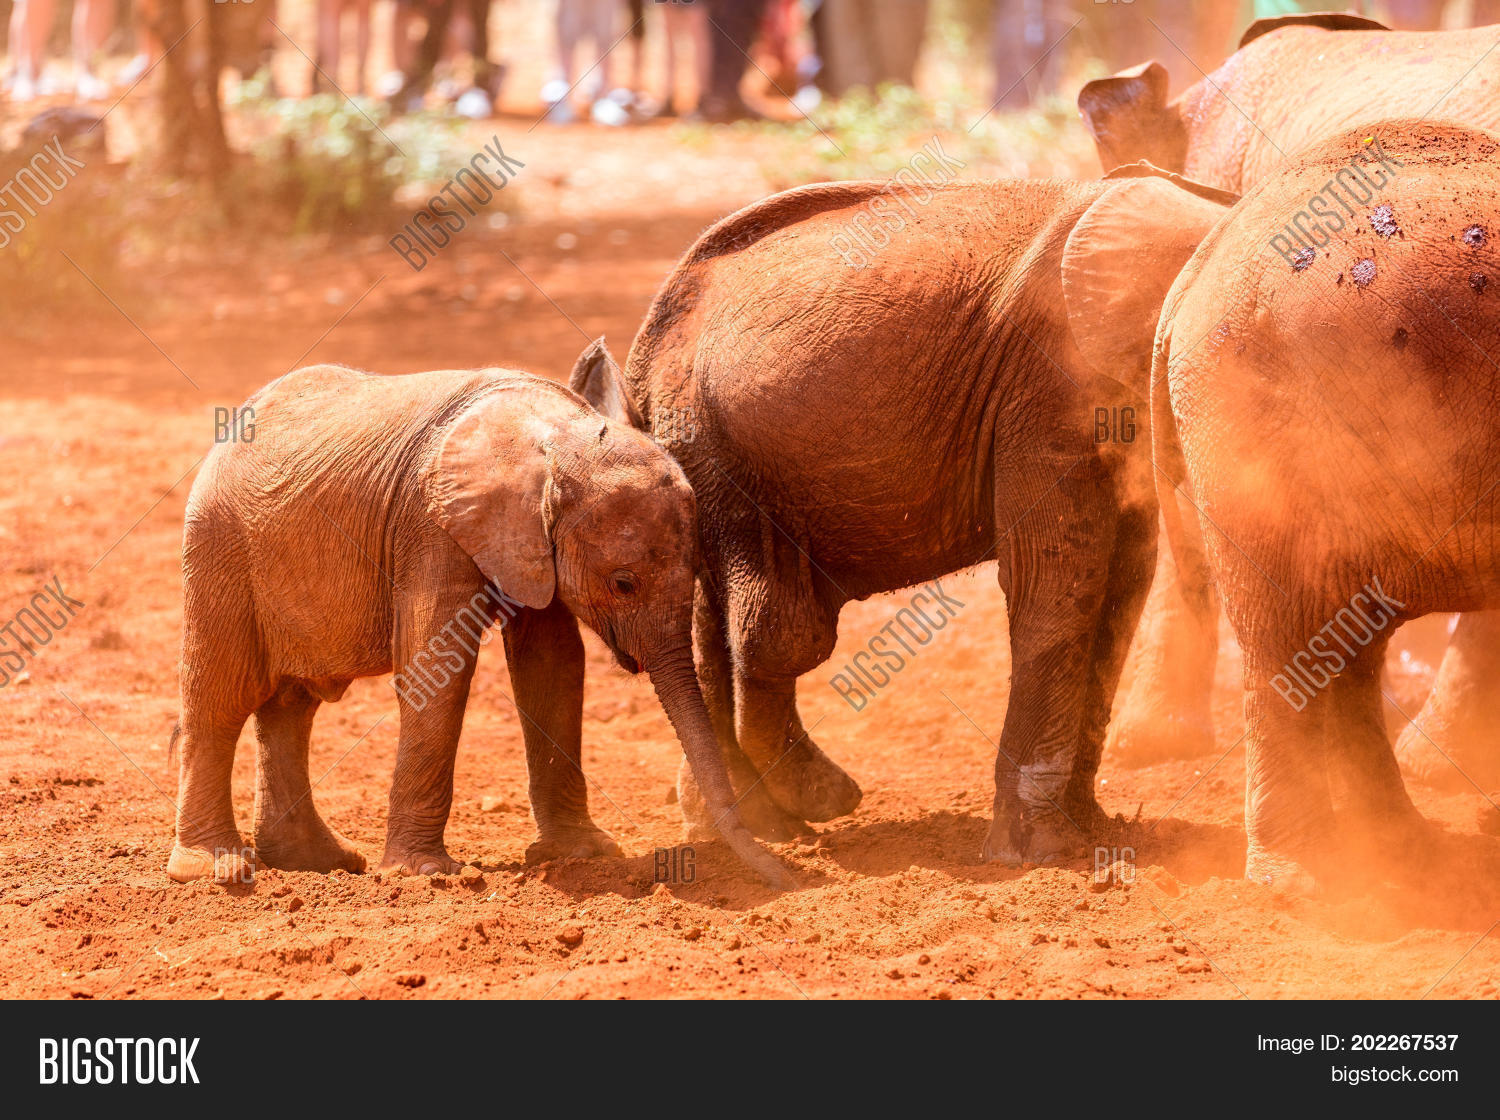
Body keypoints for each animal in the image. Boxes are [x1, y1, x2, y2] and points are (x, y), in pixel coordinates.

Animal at [167, 363, 787, 887]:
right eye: (623, 583)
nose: (784, 878)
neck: (556, 432)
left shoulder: (529, 539)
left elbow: (553, 662)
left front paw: (584, 854)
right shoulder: (432, 522)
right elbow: (435, 666)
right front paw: (423, 875)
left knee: (291, 709)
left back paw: (320, 862)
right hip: (219, 544)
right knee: (222, 698)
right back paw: (213, 870)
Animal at [574, 166, 1234, 865]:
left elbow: (1123, 583)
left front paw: (1091, 832)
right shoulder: (1049, 385)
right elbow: (1054, 579)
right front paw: (1037, 853)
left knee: (713, 614)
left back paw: (754, 823)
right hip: (713, 438)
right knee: (775, 628)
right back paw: (818, 801)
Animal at [1153, 119, 1500, 883]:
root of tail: (1196, 268)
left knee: (1346, 645)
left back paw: (1402, 852)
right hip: (1257, 421)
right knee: (1286, 637)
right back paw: (1306, 883)